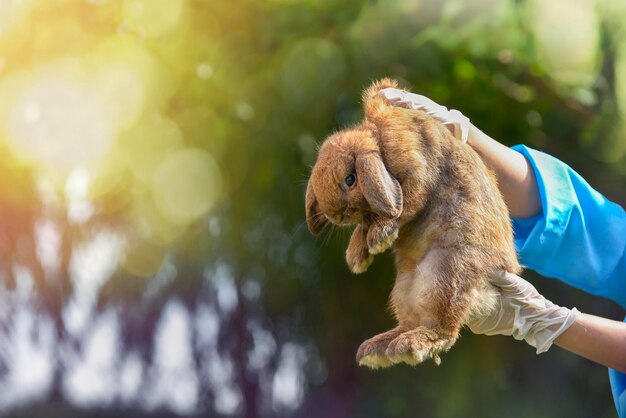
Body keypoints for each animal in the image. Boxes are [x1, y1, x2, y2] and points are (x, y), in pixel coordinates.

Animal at [304, 77, 520, 366]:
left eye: (350, 179)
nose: (336, 215)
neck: (380, 144)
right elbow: (368, 224)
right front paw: (357, 256)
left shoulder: (416, 170)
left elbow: (405, 208)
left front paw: (378, 238)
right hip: (404, 288)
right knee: (409, 321)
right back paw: (377, 350)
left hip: (444, 276)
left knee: (444, 330)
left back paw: (408, 345)